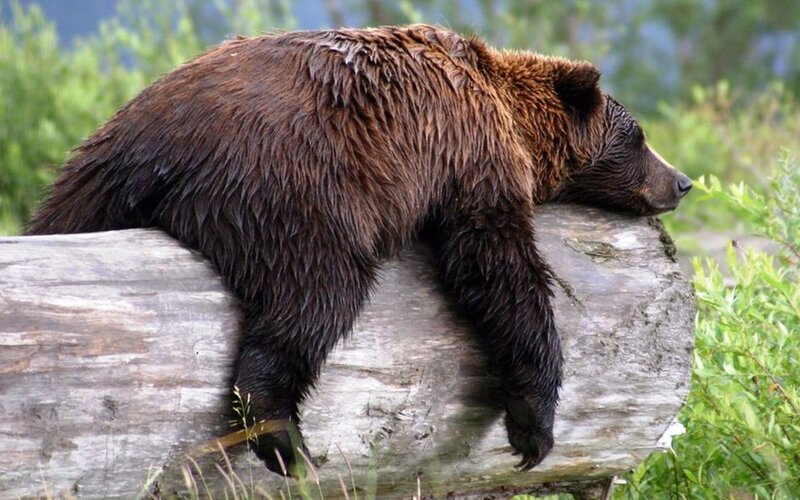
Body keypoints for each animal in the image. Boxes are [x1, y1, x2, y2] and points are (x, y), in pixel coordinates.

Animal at [26, 25, 692, 475]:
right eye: (639, 137)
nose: (682, 181)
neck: (507, 113)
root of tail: (153, 148)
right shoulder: (470, 154)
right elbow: (496, 266)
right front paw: (533, 427)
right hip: (292, 187)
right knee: (317, 294)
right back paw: (284, 439)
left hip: (86, 183)